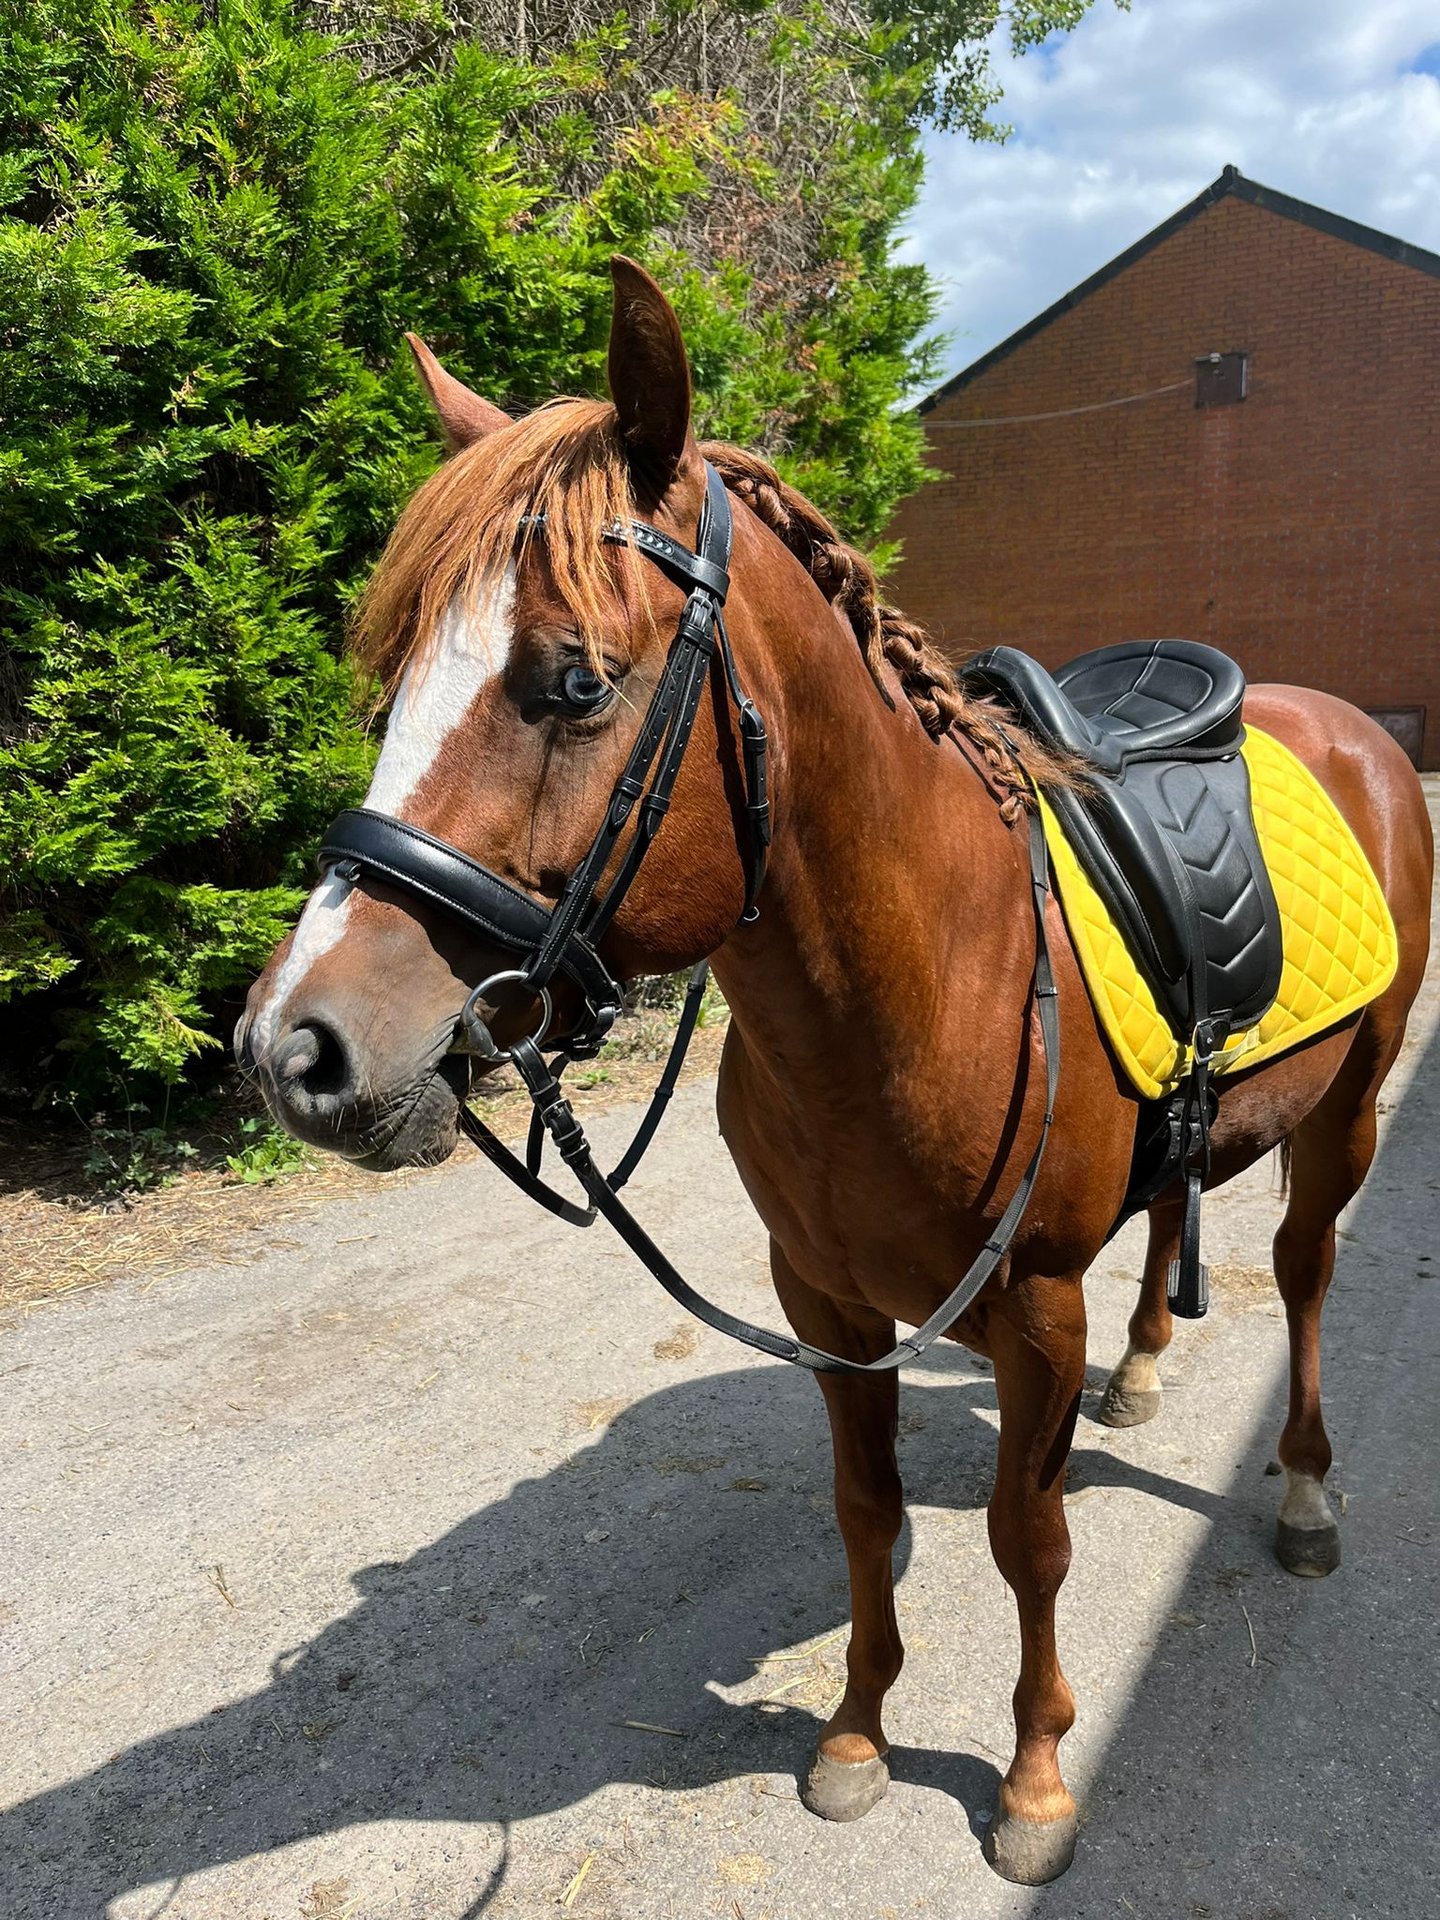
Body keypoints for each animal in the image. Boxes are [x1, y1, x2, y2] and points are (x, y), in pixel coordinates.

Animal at [238, 259, 1434, 1885]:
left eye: (574, 682)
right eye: (395, 688)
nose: (293, 1047)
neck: (920, 983)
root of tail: (1353, 730)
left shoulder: (1032, 1304)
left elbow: (1027, 1541)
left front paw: (1034, 1782)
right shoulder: (825, 1301)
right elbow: (868, 1518)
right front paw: (859, 1737)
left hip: (1352, 1113)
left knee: (1308, 1269)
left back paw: (1305, 1486)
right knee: (1173, 1226)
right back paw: (1141, 1372)